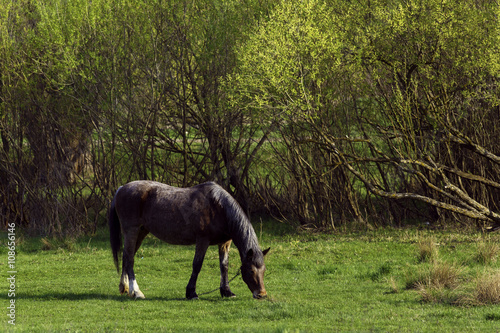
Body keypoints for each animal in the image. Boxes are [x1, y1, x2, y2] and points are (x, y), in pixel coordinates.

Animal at [108, 180, 270, 300]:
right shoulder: (202, 240)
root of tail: (121, 189)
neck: (218, 207)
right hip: (131, 230)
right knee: (129, 259)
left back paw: (125, 288)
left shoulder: (224, 243)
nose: (261, 294)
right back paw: (136, 292)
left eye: (263, 270)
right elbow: (197, 265)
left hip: (141, 231)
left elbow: (224, 266)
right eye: (250, 270)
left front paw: (227, 292)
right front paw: (191, 293)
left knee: (126, 256)